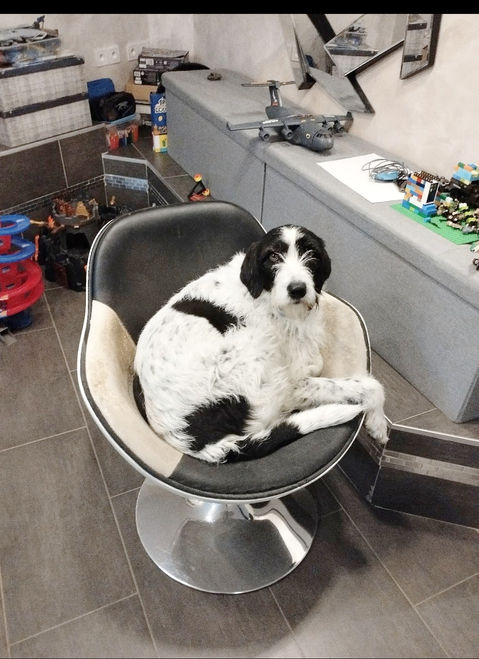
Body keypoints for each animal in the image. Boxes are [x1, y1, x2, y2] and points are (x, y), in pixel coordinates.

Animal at [134, 224, 388, 463]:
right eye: (273, 256)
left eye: (312, 254)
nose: (298, 289)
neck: (265, 296)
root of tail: (190, 440)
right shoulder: (292, 374)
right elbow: (368, 385)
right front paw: (378, 423)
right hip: (256, 357)